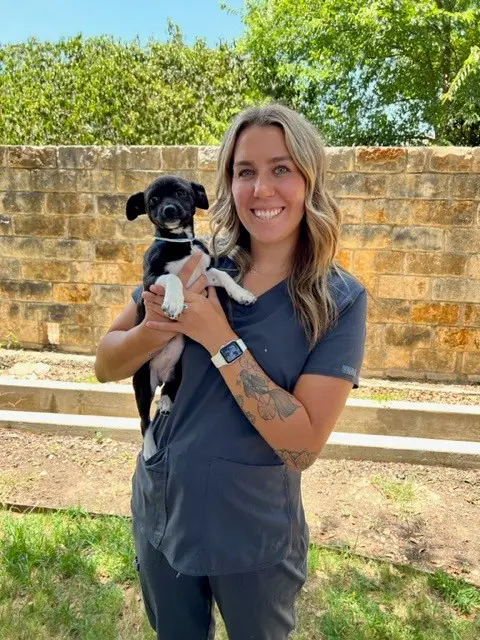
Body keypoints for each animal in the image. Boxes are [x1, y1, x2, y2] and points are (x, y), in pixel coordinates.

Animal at [125, 172, 256, 458]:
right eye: (153, 200)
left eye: (181, 193)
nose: (169, 210)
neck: (182, 244)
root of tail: (159, 375)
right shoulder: (151, 279)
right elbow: (173, 276)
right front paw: (175, 302)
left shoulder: (206, 273)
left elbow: (221, 275)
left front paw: (242, 293)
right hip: (142, 383)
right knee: (144, 421)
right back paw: (150, 448)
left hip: (179, 370)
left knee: (169, 390)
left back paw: (165, 402)